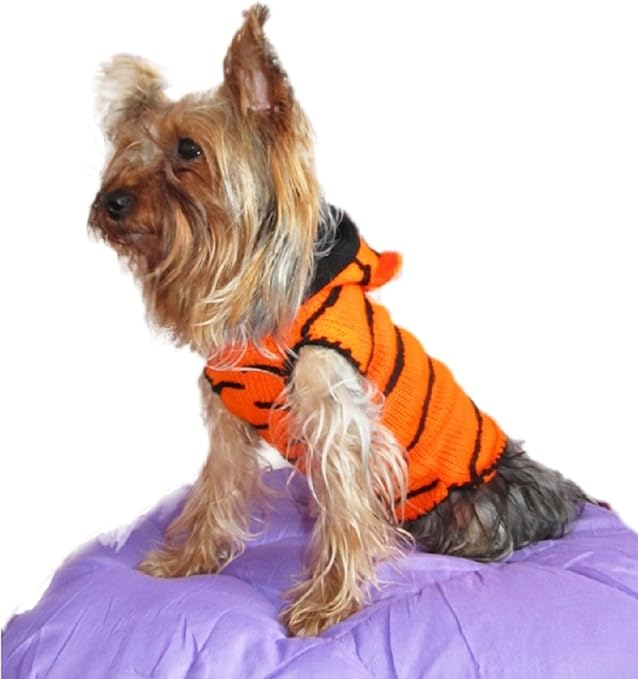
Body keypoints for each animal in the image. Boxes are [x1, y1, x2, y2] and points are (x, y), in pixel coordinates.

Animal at [89, 4, 587, 636]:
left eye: (189, 151)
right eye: (130, 149)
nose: (112, 202)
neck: (266, 311)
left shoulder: (338, 420)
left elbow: (345, 515)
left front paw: (326, 605)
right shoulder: (228, 424)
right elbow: (215, 490)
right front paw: (188, 562)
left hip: (479, 507)